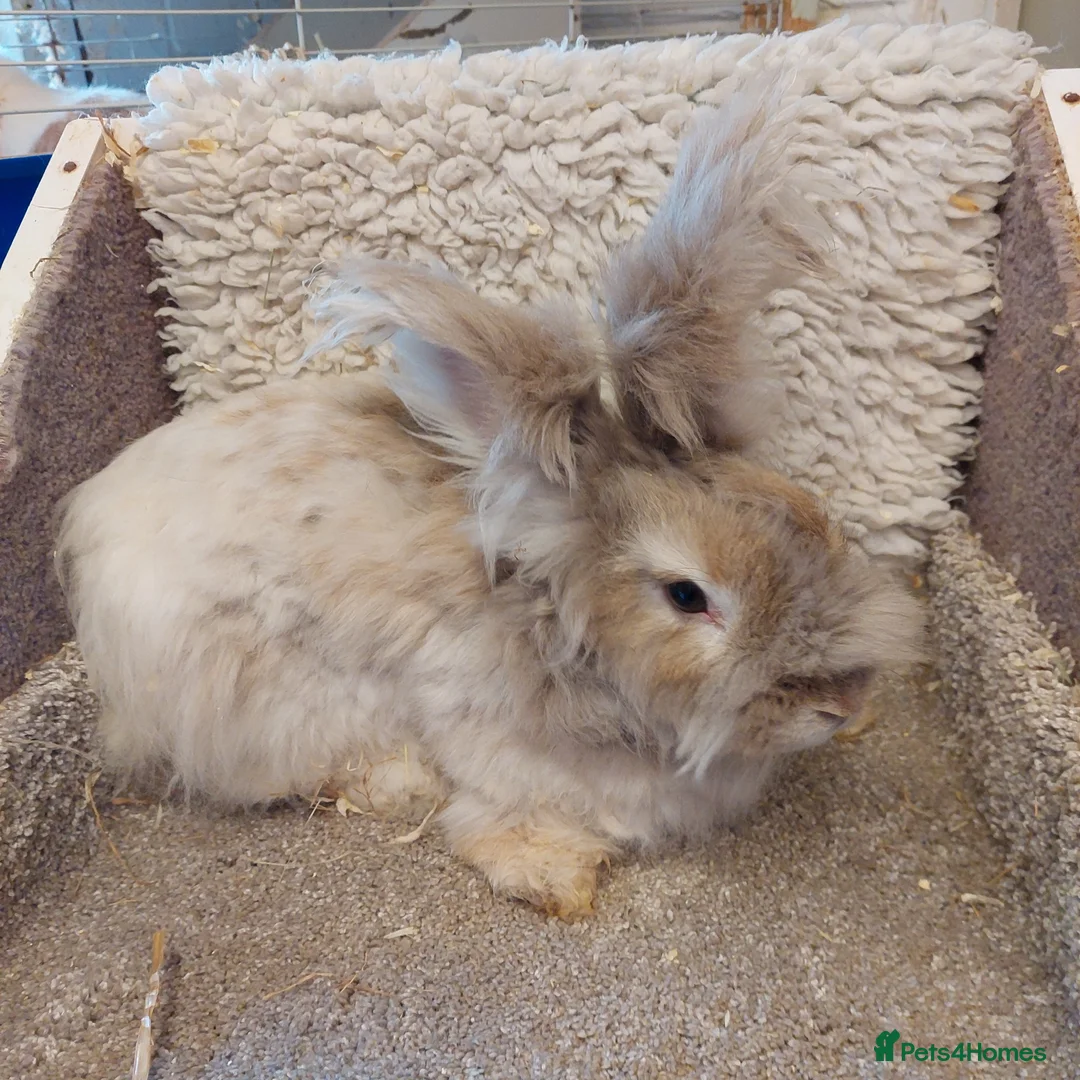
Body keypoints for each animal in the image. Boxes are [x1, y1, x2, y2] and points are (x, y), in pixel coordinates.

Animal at [55, 71, 923, 919]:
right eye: (687, 596)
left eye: (813, 517)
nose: (843, 705)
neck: (557, 621)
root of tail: (95, 529)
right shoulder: (490, 746)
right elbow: (502, 822)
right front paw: (555, 878)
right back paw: (398, 782)